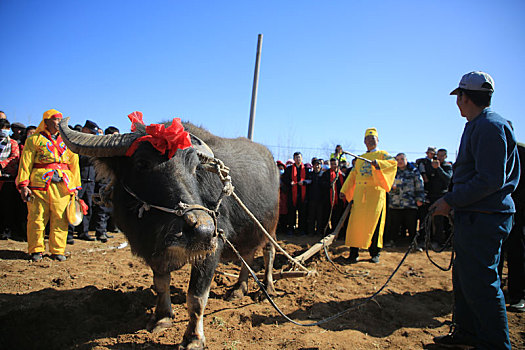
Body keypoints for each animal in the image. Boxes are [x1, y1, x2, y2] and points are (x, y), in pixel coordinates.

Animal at [57, 114, 280, 348]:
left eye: (194, 168)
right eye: (142, 162)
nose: (202, 230)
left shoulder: (213, 245)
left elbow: (196, 297)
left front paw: (193, 338)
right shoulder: (154, 251)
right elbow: (161, 284)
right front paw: (162, 318)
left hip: (270, 227)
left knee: (268, 252)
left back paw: (268, 288)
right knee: (248, 254)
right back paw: (238, 289)